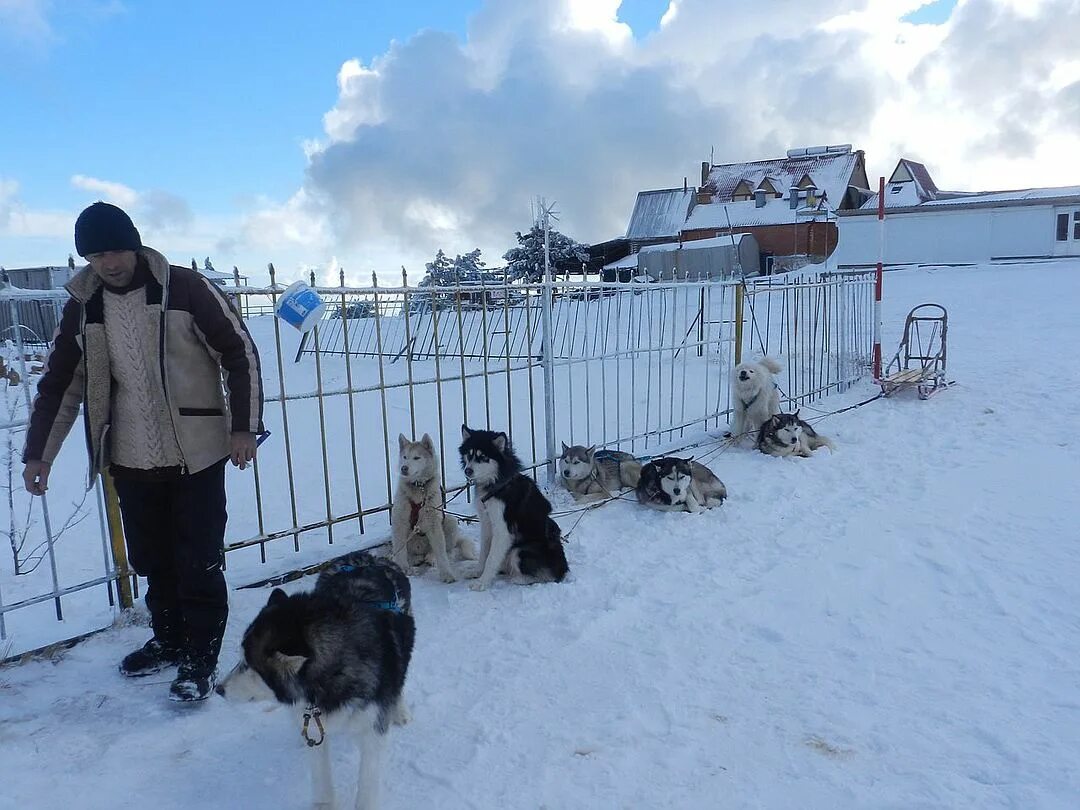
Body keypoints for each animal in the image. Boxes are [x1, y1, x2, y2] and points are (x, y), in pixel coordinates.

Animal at [216, 557, 412, 810]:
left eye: (249, 665)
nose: (218, 689)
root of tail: (368, 559)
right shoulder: (311, 718)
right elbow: (320, 772)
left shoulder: (373, 729)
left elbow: (367, 781)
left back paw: (400, 711)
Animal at [388, 434, 473, 578]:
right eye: (404, 457)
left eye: (417, 457)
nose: (403, 468)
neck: (419, 487)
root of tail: (422, 552)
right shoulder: (399, 521)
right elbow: (400, 550)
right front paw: (403, 567)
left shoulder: (433, 521)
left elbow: (441, 551)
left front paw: (446, 573)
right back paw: (414, 559)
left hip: (450, 521)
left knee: (444, 549)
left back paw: (432, 557)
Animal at [457, 427, 570, 591]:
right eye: (469, 454)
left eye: (483, 457)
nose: (468, 471)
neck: (496, 484)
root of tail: (562, 569)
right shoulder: (486, 522)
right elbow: (484, 552)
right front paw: (477, 572)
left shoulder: (503, 529)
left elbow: (491, 558)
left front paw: (482, 582)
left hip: (520, 549)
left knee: (545, 577)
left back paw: (518, 578)